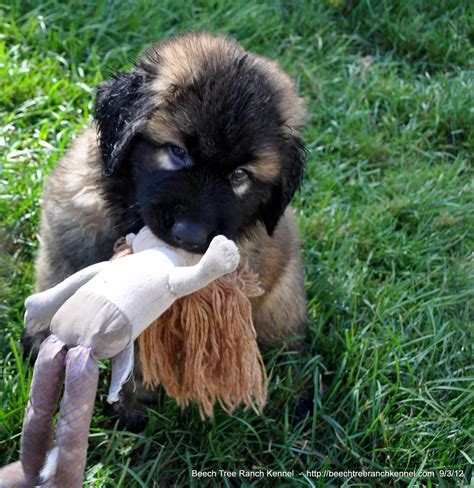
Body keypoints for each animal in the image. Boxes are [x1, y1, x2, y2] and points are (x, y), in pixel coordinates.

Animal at [24, 31, 310, 428]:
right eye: (177, 152)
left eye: (239, 176)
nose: (189, 235)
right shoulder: (66, 239)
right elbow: (56, 283)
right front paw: (39, 342)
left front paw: (130, 407)